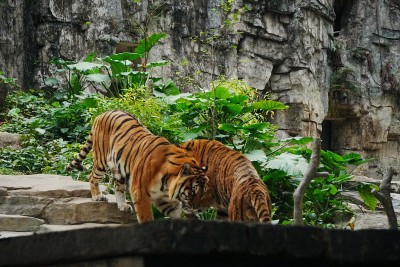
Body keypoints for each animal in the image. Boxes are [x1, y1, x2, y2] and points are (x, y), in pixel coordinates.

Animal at [65, 110, 209, 224]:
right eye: (193, 191)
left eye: (204, 191)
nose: (199, 209)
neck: (166, 184)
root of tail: (102, 114)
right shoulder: (140, 194)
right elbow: (146, 218)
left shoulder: (165, 200)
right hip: (101, 160)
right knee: (92, 176)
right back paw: (97, 196)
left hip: (120, 169)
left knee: (118, 187)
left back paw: (123, 205)